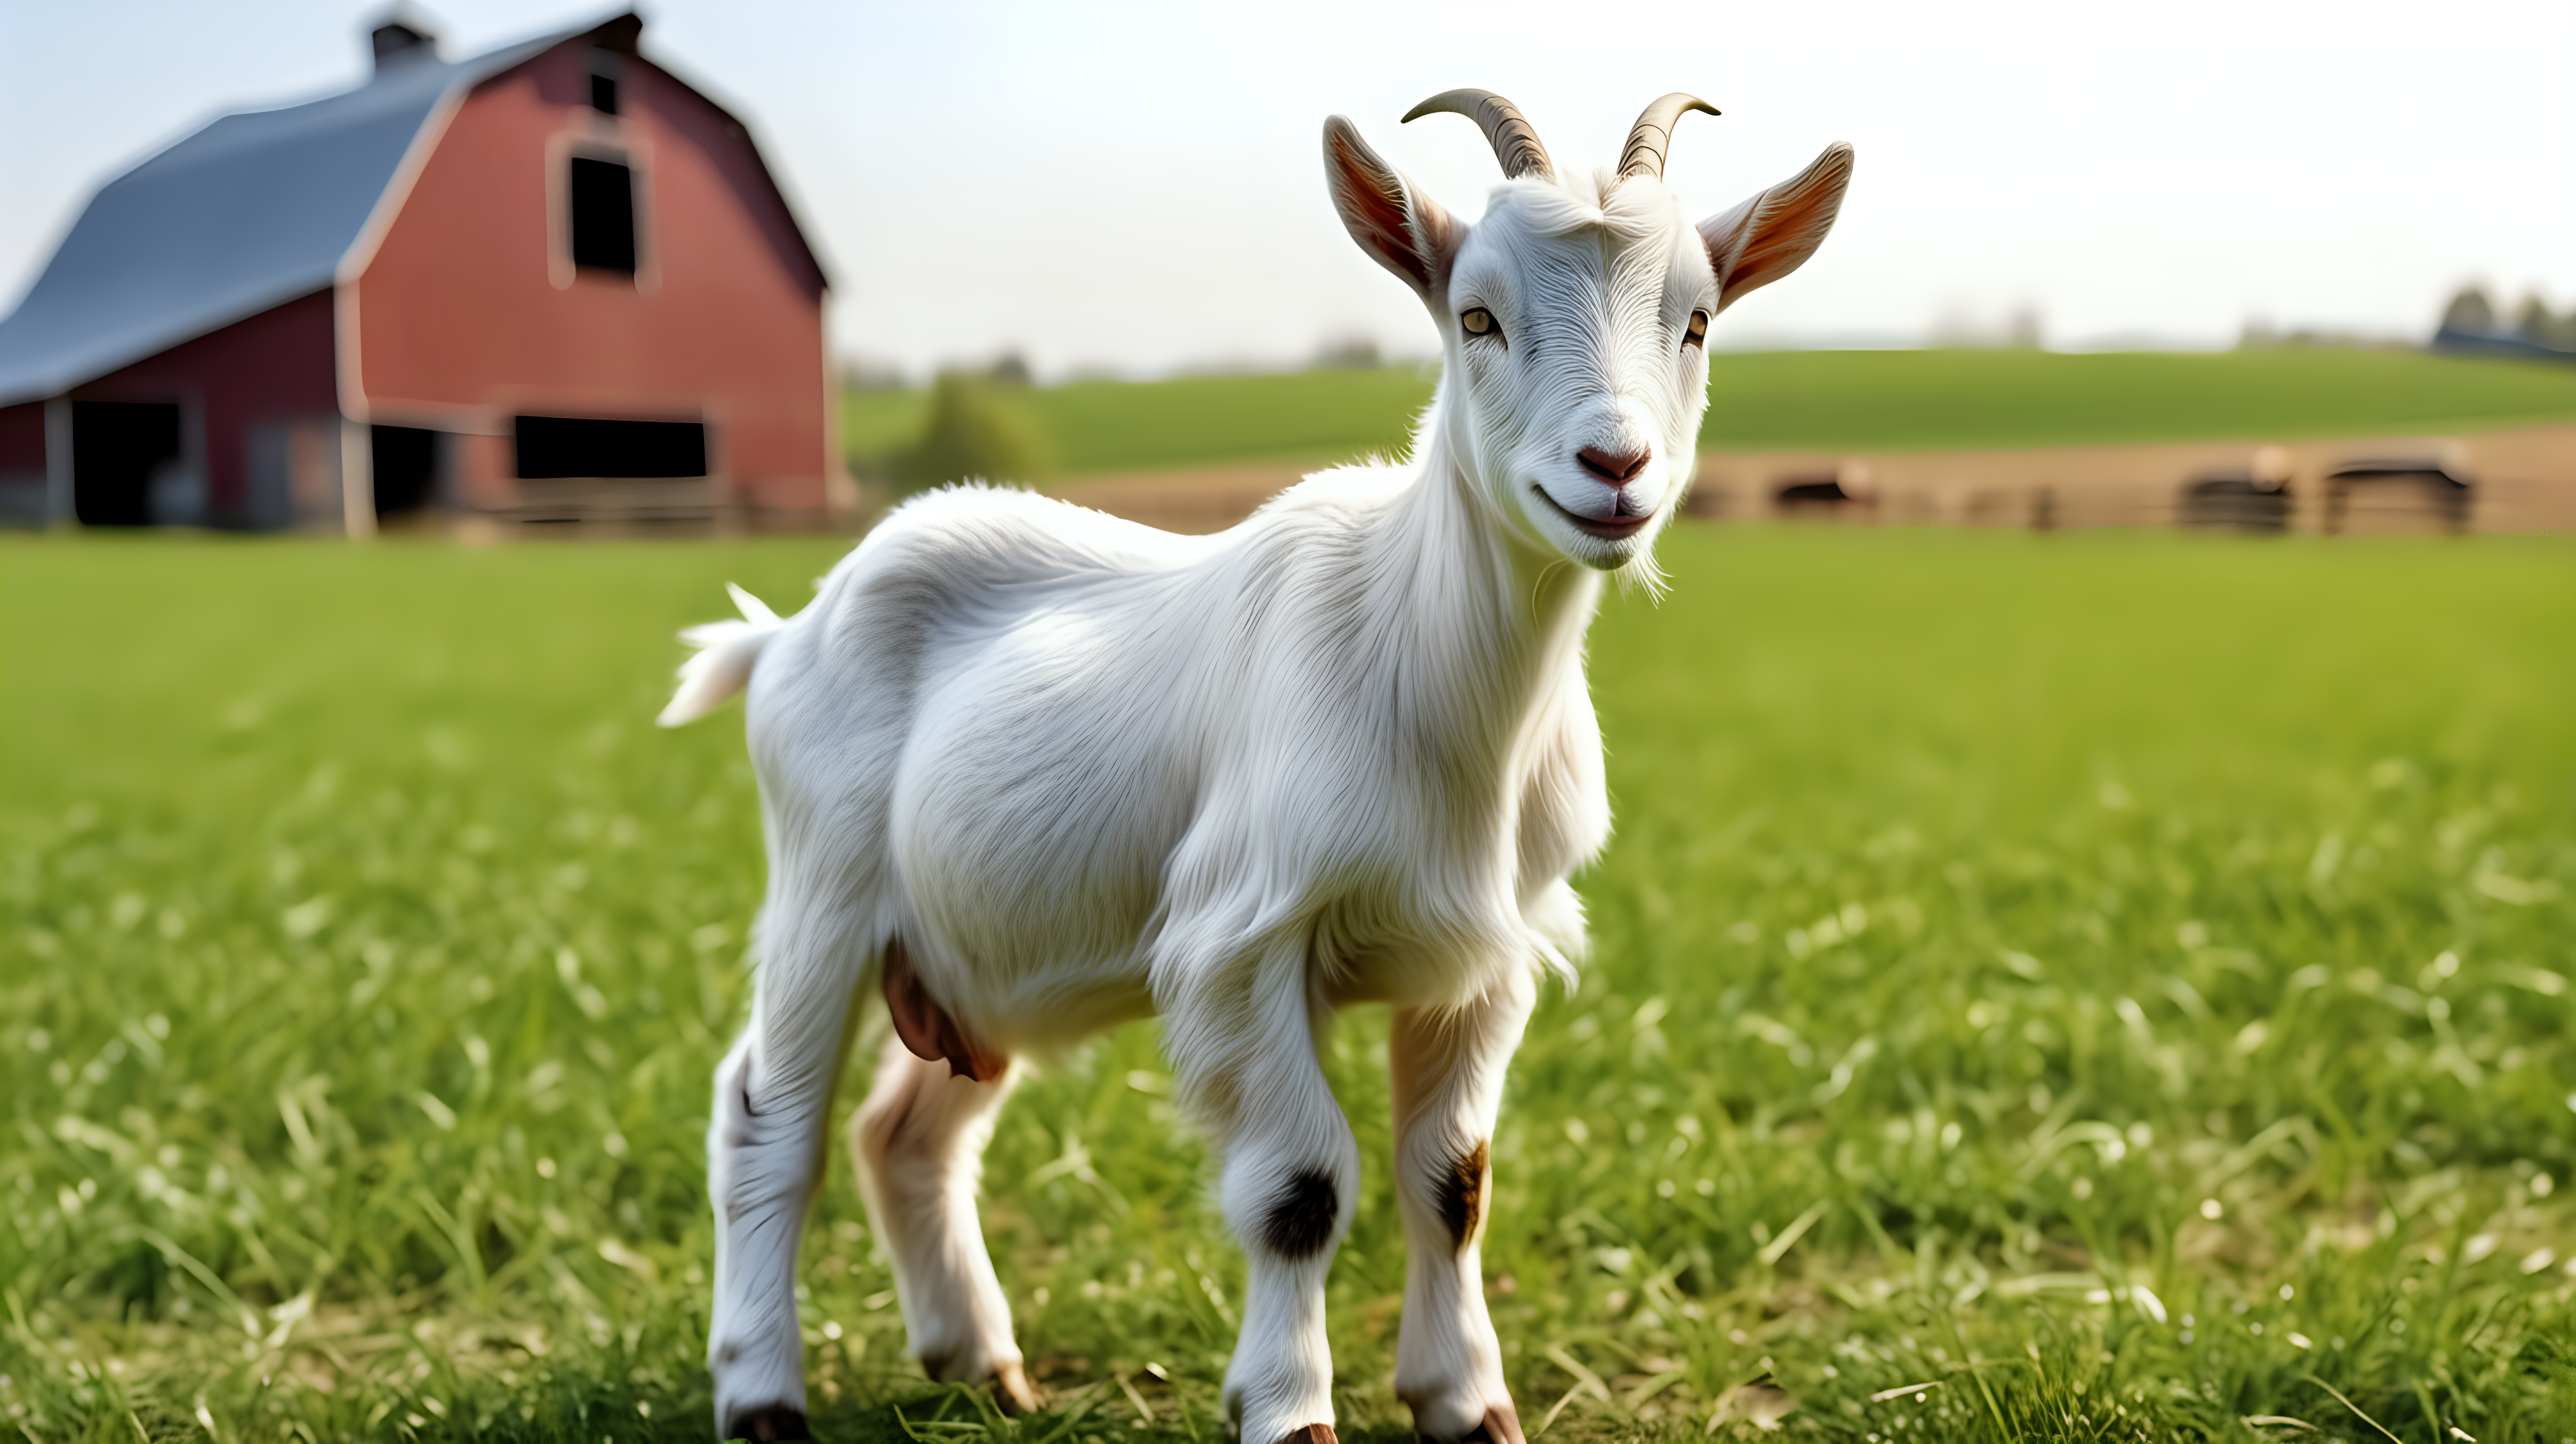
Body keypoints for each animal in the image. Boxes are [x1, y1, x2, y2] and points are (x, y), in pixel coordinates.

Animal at [664, 92, 1855, 1444]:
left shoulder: (1485, 962)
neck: (1429, 668)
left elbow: (1454, 1182)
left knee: (906, 1129)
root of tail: (784, 631)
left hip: (976, 957)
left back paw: (983, 1366)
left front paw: (1468, 1402)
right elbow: (1300, 1186)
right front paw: (1293, 1410)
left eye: (1697, 321)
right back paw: (765, 1394)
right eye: (1477, 316)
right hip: (824, 889)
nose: (1615, 468)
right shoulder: (1243, 941)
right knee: (768, 1119)